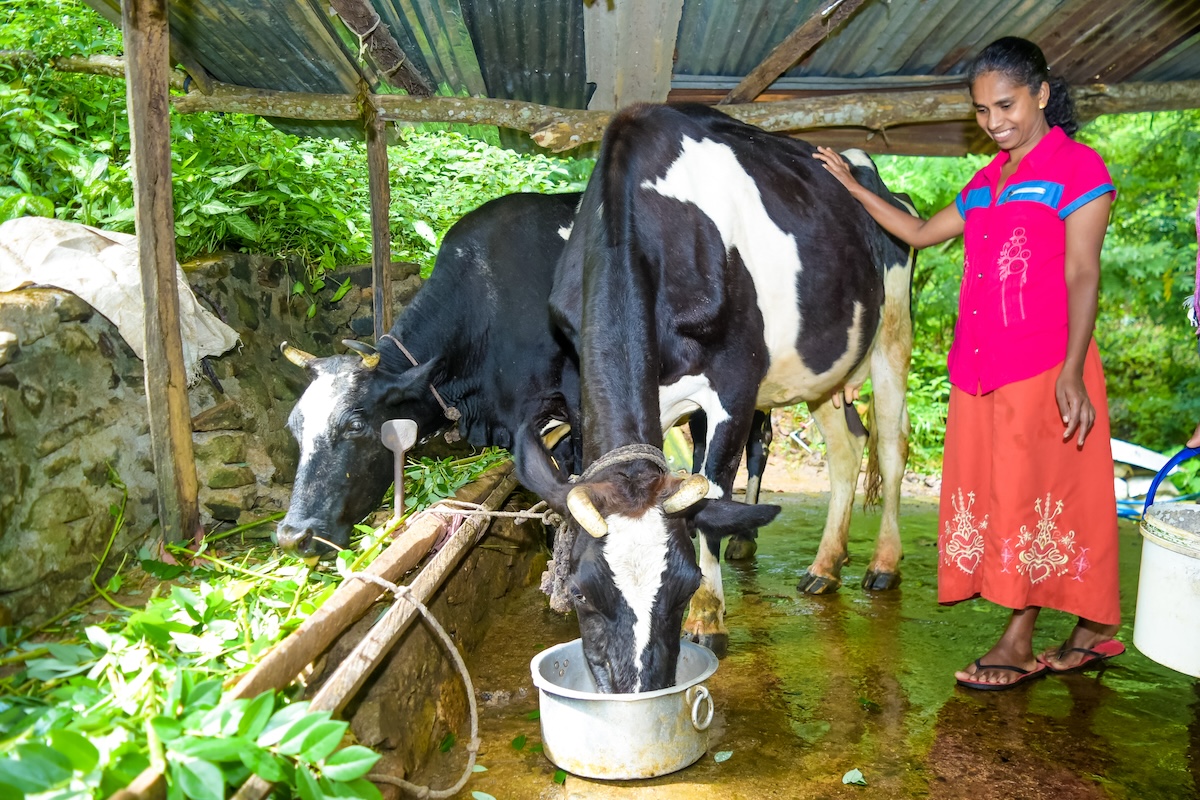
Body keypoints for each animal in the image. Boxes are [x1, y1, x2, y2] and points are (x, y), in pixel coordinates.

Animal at [518, 103, 916, 695]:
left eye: (682, 587)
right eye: (583, 591)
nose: (638, 688)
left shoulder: (736, 384)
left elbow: (713, 492)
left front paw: (709, 618)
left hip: (893, 330)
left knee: (890, 444)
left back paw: (883, 564)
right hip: (824, 369)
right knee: (846, 452)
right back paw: (824, 567)